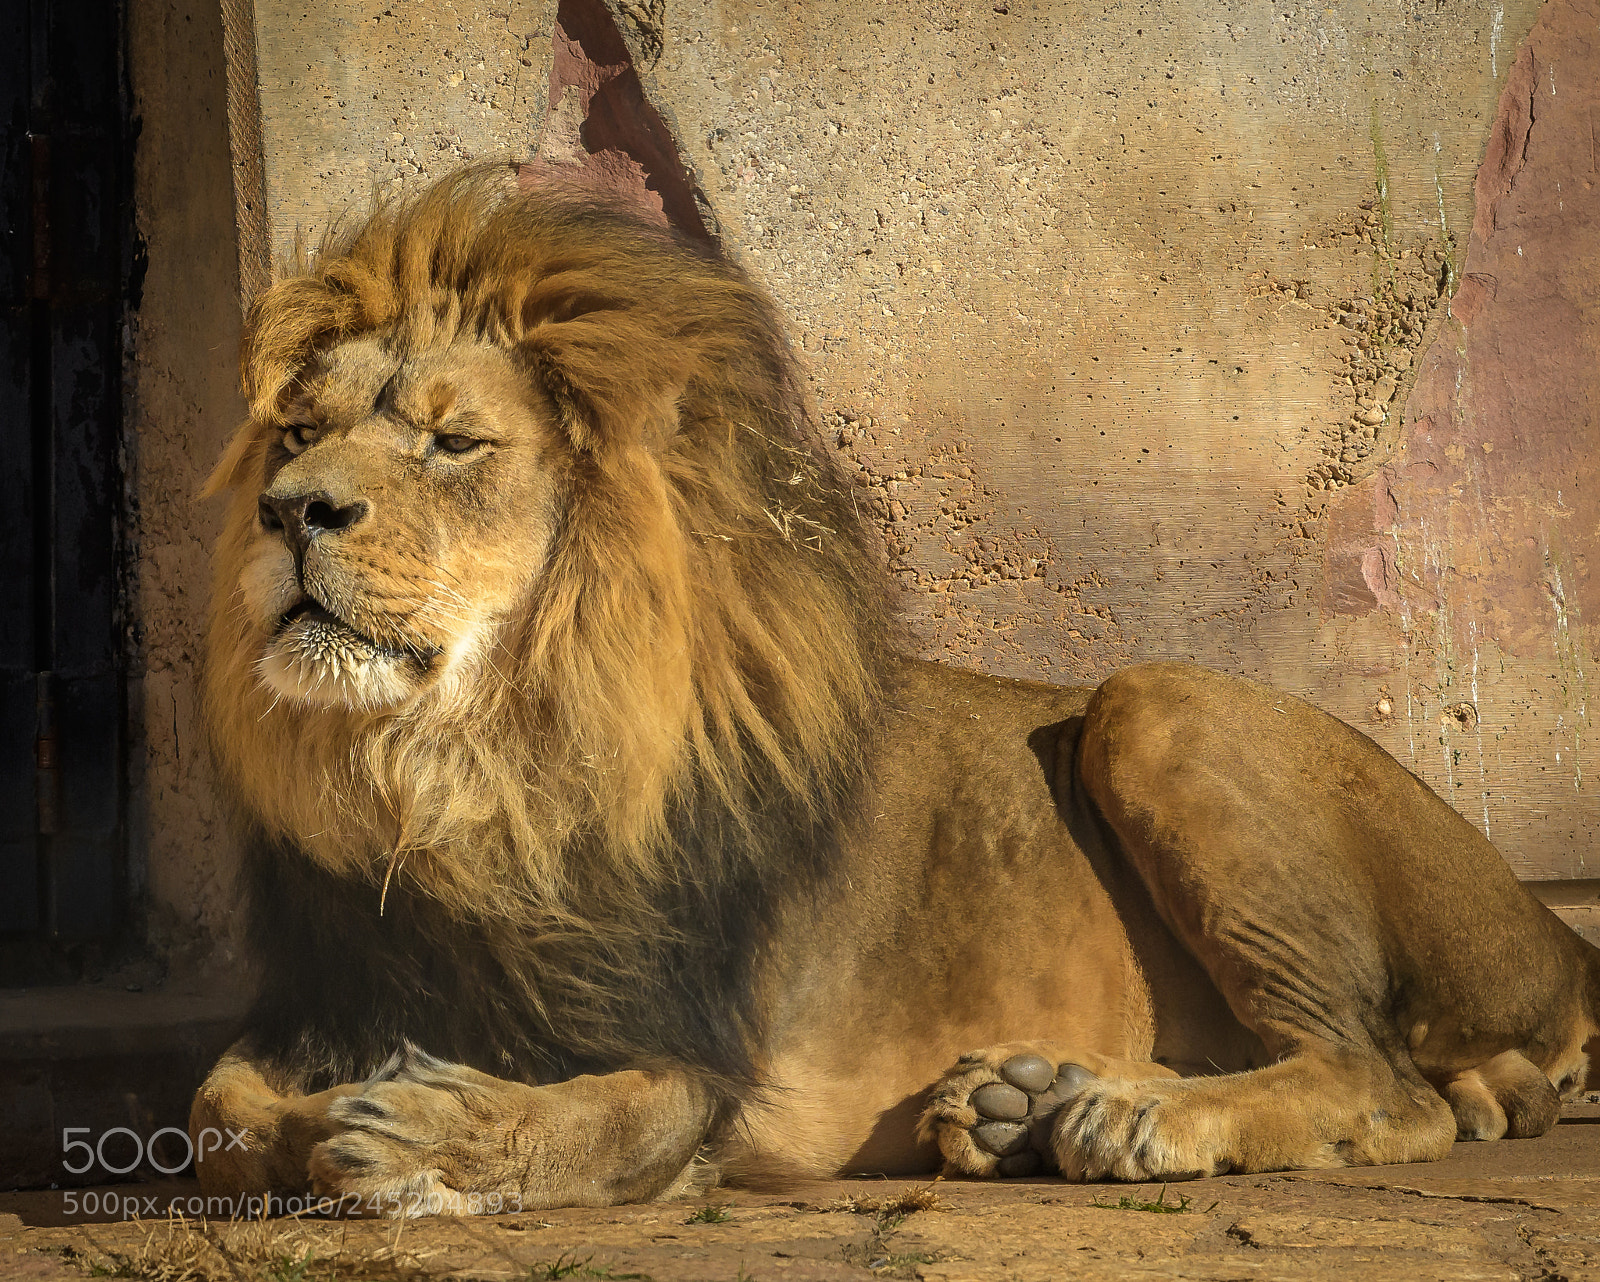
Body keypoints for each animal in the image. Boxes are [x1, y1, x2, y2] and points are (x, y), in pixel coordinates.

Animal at [191, 164, 1600, 1215]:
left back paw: (1127, 1111)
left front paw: (419, 1134)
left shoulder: (704, 1061)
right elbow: (216, 1112)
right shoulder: (335, 988)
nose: (289, 509)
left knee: (1380, 1081)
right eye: (297, 433)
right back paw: (1019, 1104)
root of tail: (1557, 928)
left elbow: (598, 1123)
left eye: (451, 441)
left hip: (1155, 699)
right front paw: (329, 1119)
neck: (456, 771)